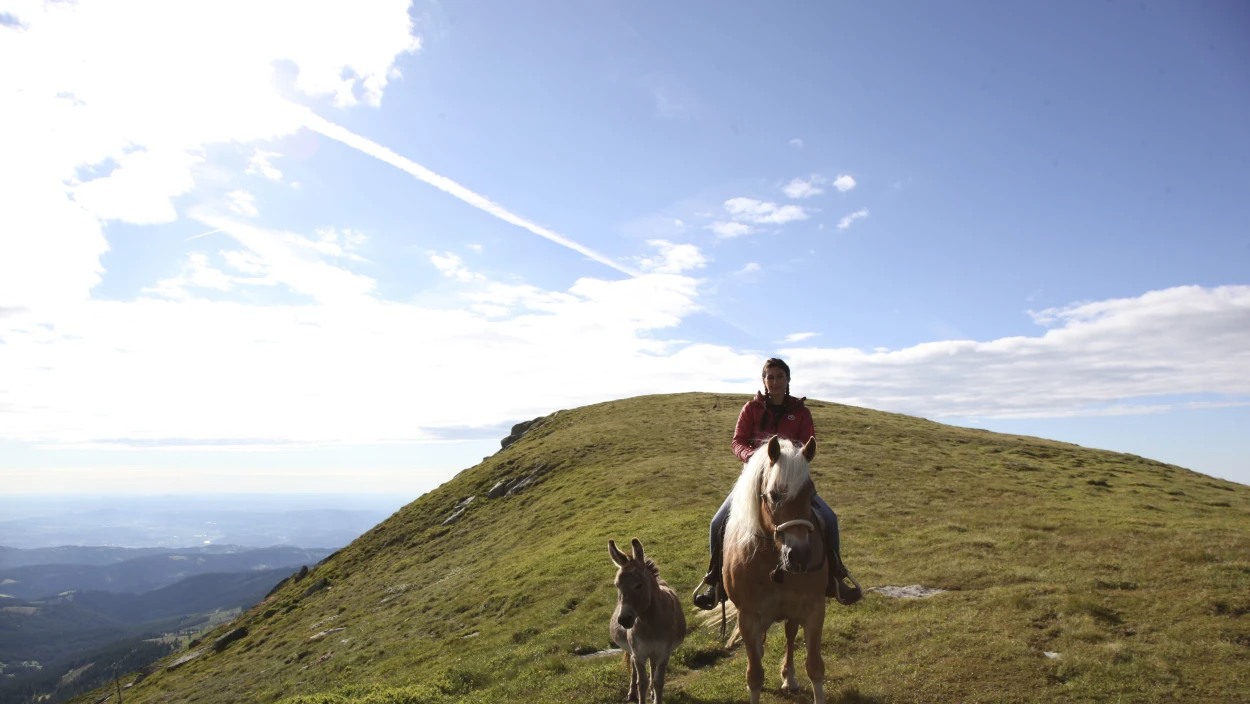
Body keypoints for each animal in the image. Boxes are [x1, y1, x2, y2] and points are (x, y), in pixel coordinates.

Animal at [610, 540, 690, 704]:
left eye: (639, 585)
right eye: (617, 585)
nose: (623, 620)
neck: (650, 623)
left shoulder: (663, 654)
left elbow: (658, 682)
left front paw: (655, 692)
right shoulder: (639, 653)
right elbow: (642, 683)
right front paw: (639, 691)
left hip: (654, 653)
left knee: (652, 667)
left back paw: (652, 691)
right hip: (634, 651)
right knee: (634, 668)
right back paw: (631, 693)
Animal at [725, 435, 830, 704]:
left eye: (811, 495)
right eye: (773, 495)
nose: (800, 555)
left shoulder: (814, 610)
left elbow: (815, 668)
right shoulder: (748, 617)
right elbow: (754, 676)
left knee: (790, 634)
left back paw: (788, 677)